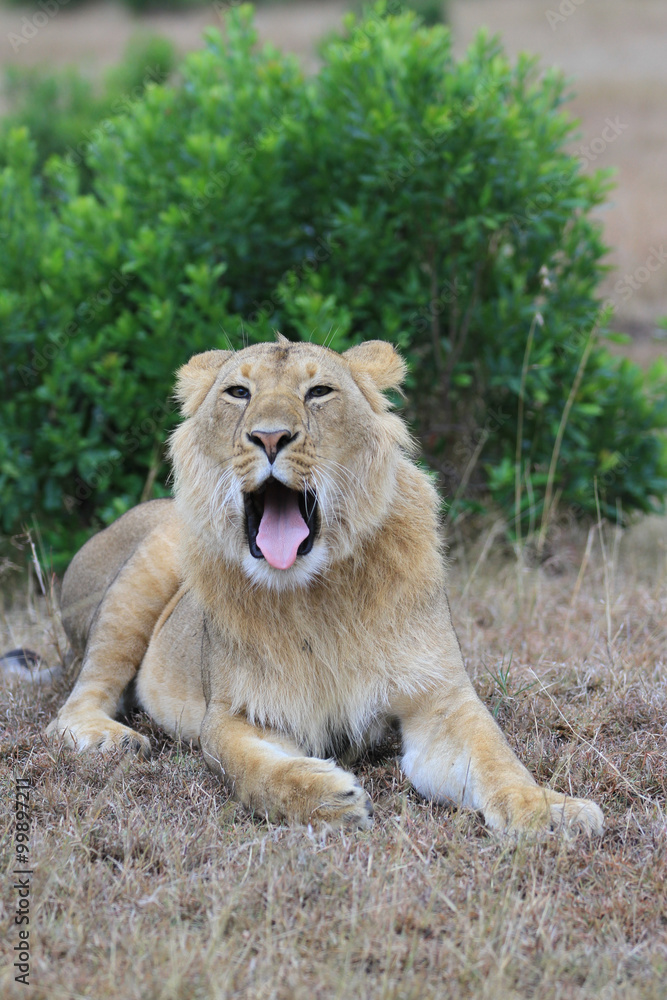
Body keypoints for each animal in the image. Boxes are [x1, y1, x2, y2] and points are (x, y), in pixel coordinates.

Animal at [46, 336, 604, 834]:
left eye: (318, 392)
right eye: (238, 393)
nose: (271, 437)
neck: (316, 593)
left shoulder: (440, 698)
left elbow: (495, 757)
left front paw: (547, 811)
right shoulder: (230, 713)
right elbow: (254, 768)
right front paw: (323, 798)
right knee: (73, 704)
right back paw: (108, 738)